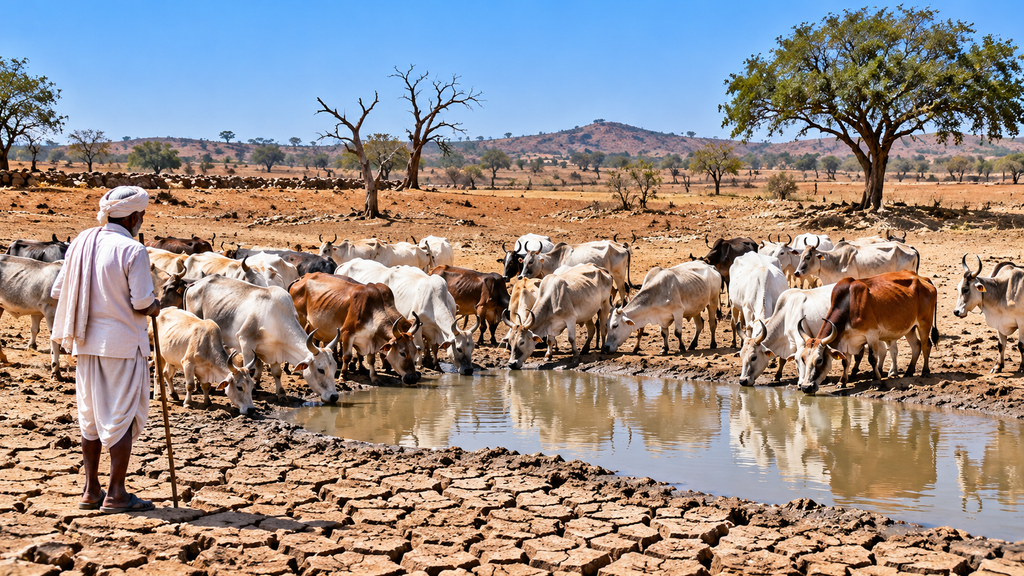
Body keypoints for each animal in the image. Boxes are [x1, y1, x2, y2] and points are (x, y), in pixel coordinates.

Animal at [184, 275, 340, 403]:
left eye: (334, 368)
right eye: (321, 370)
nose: (334, 396)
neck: (275, 316)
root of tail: (196, 283)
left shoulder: (275, 349)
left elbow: (277, 373)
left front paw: (281, 394)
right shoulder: (246, 342)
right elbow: (250, 369)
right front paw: (252, 391)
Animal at [289, 273, 423, 384]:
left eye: (415, 351)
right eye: (402, 353)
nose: (413, 378)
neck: (371, 312)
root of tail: (301, 279)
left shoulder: (370, 339)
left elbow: (370, 359)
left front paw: (374, 377)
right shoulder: (347, 333)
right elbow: (347, 356)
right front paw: (343, 376)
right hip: (300, 322)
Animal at [336, 259, 477, 374]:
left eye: (472, 348)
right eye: (459, 349)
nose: (469, 371)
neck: (435, 299)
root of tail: (344, 264)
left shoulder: (432, 331)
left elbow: (435, 347)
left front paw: (436, 365)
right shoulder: (418, 326)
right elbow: (420, 346)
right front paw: (419, 364)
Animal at [796, 271, 939, 393]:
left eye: (819, 360)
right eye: (803, 359)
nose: (806, 387)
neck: (849, 305)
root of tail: (922, 279)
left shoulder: (872, 335)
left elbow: (873, 359)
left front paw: (876, 382)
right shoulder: (846, 341)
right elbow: (845, 361)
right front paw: (842, 382)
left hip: (924, 324)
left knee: (926, 345)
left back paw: (925, 371)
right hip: (910, 328)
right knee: (916, 346)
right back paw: (909, 371)